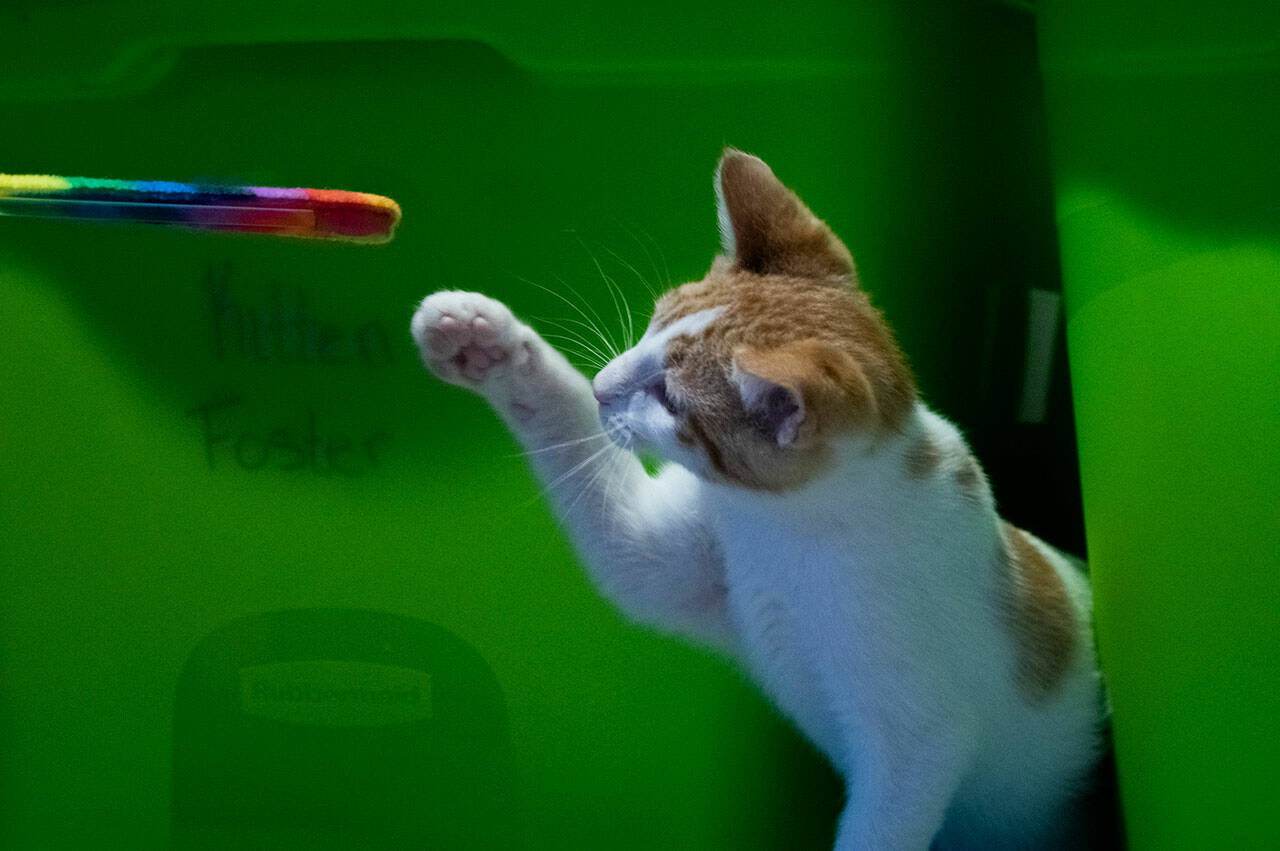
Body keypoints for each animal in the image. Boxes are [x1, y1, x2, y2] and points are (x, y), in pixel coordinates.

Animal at [414, 149, 1105, 844]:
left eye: (671, 400)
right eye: (653, 322)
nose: (602, 385)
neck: (787, 526)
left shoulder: (916, 741)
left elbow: (881, 825)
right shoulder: (678, 554)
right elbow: (590, 474)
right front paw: (483, 339)